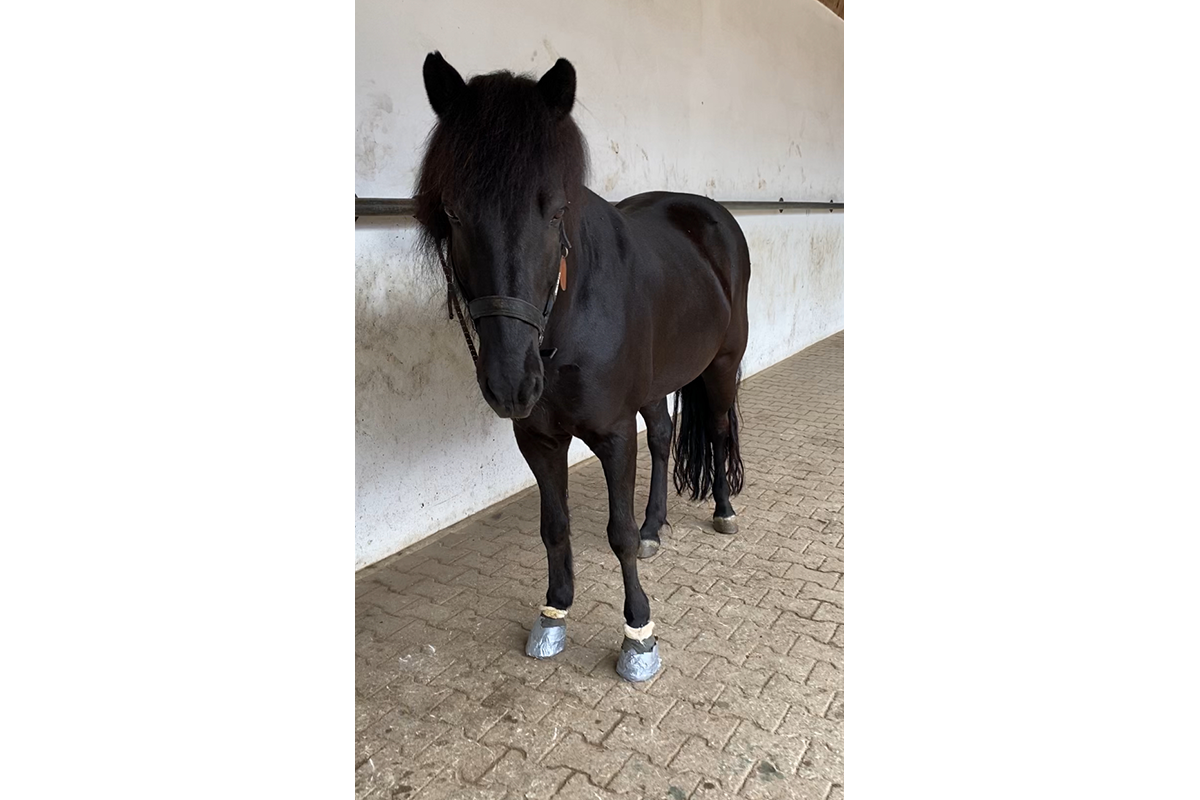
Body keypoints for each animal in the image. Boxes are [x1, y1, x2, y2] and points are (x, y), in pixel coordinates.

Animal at [413, 52, 751, 681]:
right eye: (452, 211)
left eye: (556, 211)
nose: (511, 384)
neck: (567, 326)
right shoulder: (538, 438)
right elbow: (555, 526)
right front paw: (554, 613)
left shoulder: (614, 434)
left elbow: (616, 535)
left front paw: (639, 634)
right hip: (656, 383)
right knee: (664, 435)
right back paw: (654, 527)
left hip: (721, 364)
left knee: (717, 432)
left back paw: (722, 510)